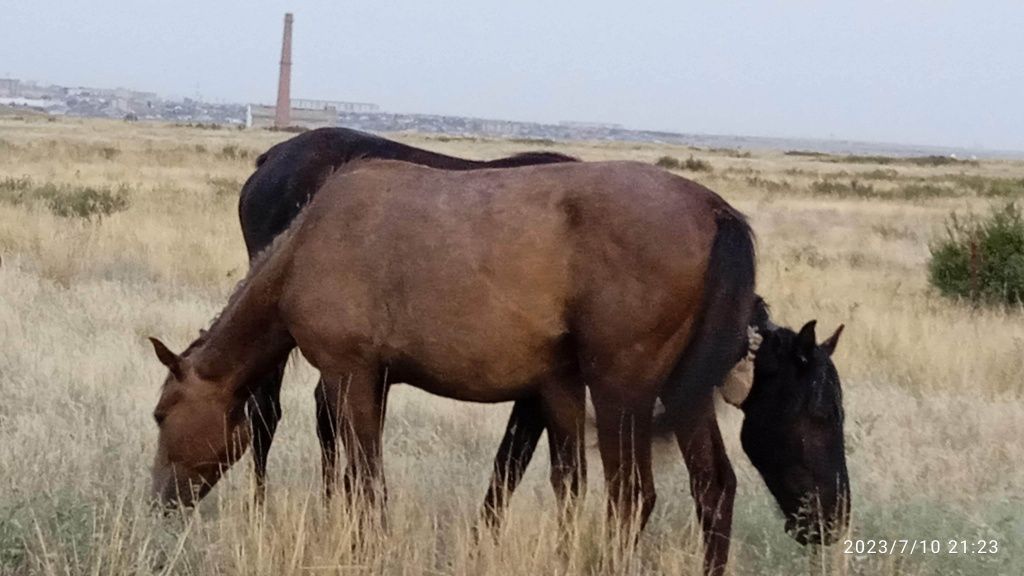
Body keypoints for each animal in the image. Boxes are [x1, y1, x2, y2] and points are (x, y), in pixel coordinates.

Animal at [146, 159, 847, 573]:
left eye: (159, 414)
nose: (159, 504)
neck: (307, 246)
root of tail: (716, 212)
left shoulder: (350, 374)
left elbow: (366, 478)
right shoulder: (551, 388)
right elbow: (564, 484)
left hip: (623, 390)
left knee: (632, 497)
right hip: (684, 394)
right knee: (712, 488)